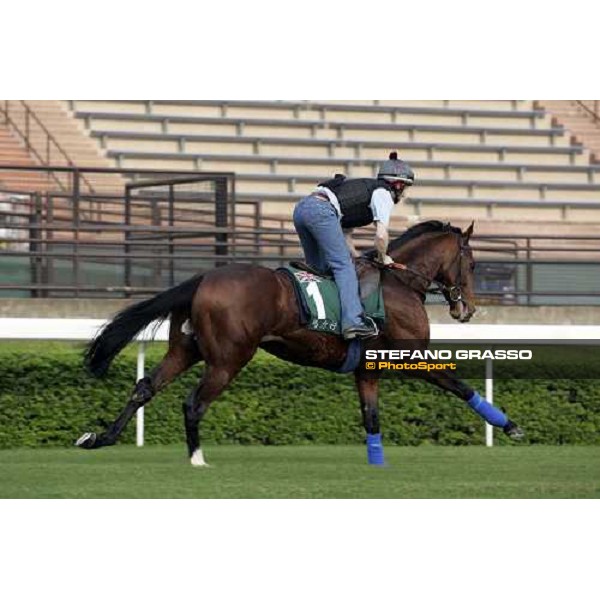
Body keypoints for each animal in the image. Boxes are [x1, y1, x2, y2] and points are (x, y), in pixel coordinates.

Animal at [77, 220, 524, 464]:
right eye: (473, 263)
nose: (467, 309)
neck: (400, 283)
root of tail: (204, 278)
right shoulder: (408, 355)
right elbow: (459, 385)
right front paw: (511, 426)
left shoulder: (367, 368)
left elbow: (371, 417)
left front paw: (377, 464)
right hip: (227, 359)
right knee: (193, 403)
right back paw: (197, 459)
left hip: (187, 349)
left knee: (144, 388)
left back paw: (99, 438)